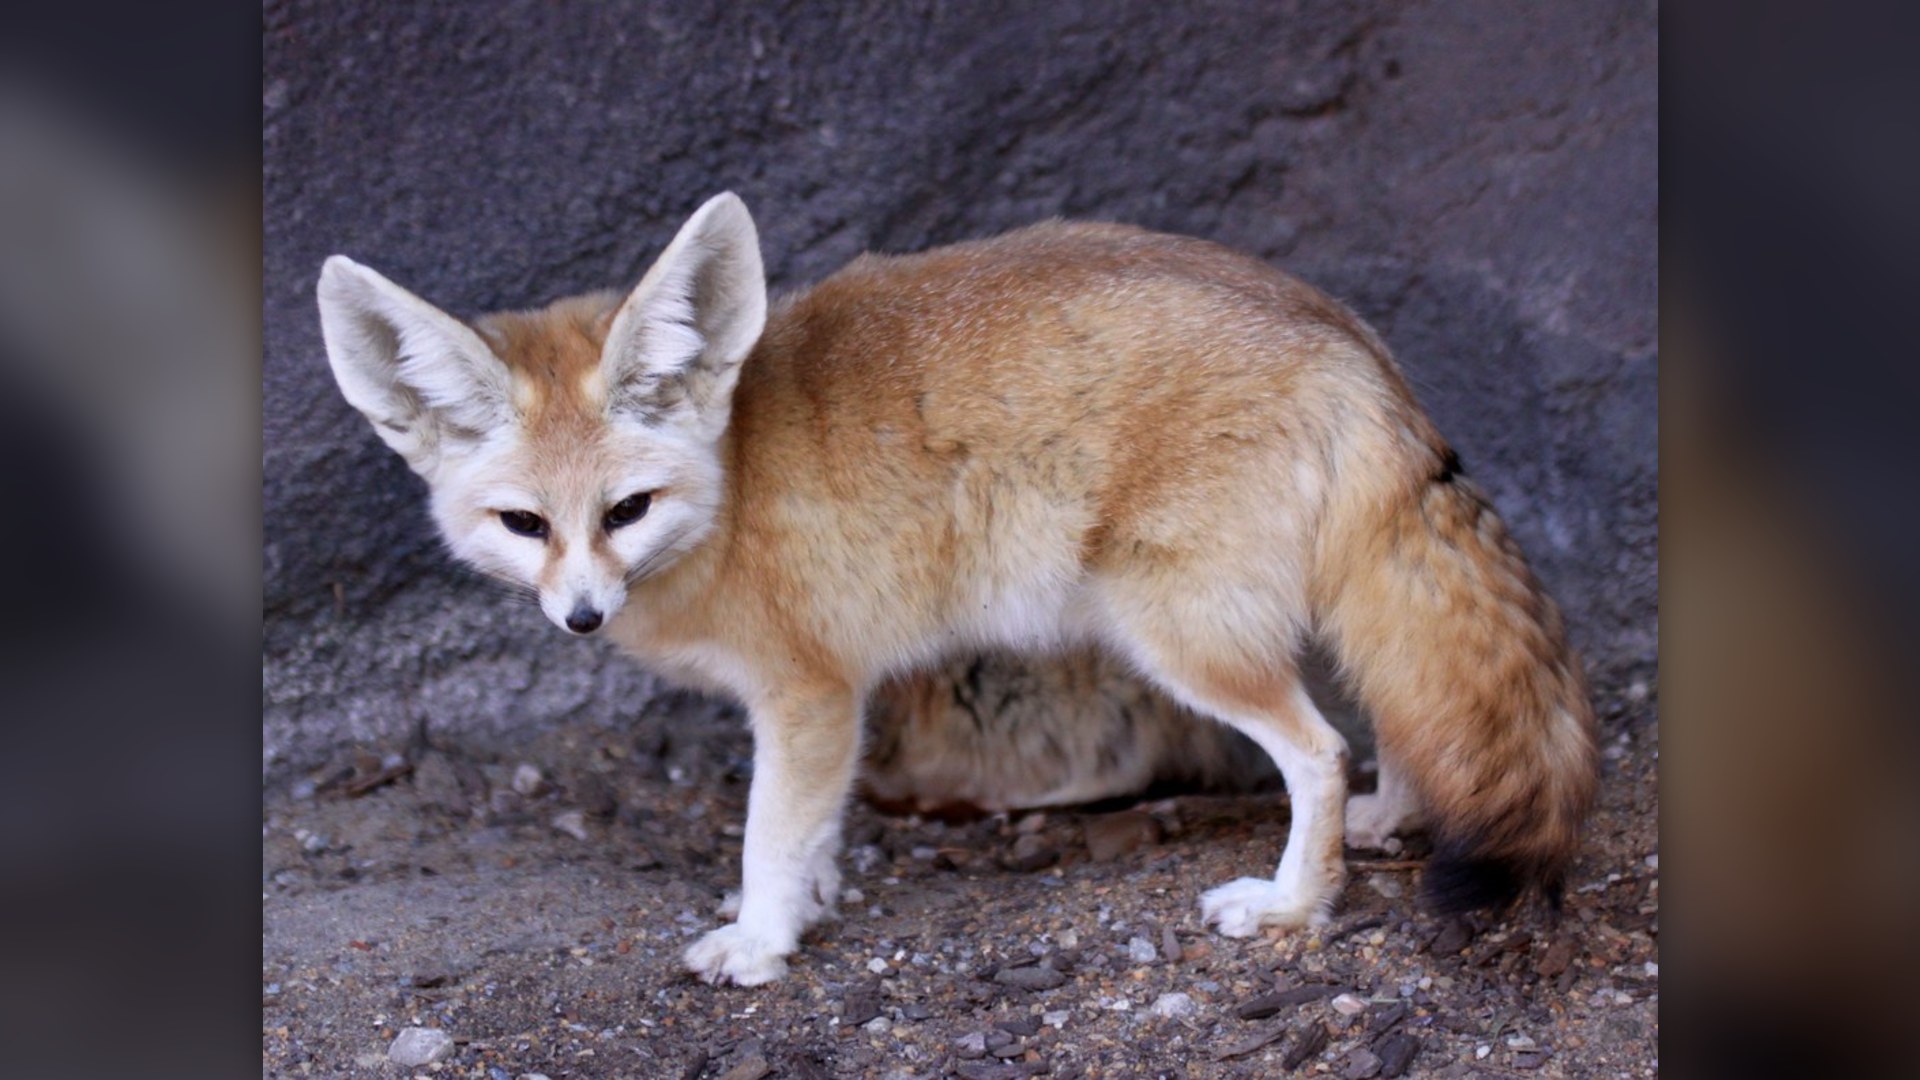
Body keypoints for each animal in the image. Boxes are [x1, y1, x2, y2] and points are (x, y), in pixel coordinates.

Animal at [316, 192, 1597, 986]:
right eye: (526, 525)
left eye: (624, 512)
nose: (583, 617)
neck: (731, 487)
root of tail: (1342, 335)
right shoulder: (830, 704)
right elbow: (816, 831)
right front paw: (812, 903)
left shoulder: (811, 694)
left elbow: (769, 836)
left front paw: (762, 940)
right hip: (1291, 610)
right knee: (1390, 706)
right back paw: (1394, 813)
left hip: (1181, 638)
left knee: (1318, 750)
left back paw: (1292, 904)